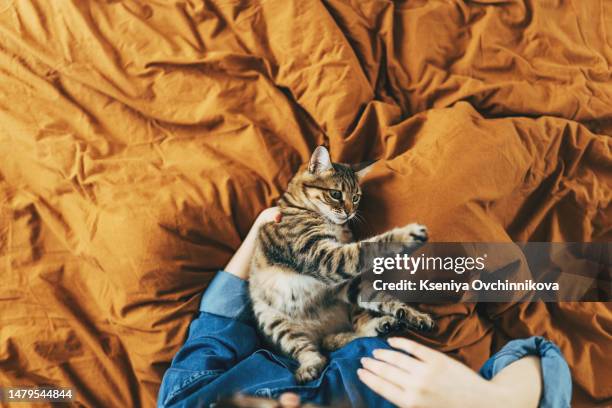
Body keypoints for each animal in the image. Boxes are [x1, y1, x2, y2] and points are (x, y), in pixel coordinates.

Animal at [250, 147, 436, 386]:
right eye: (336, 194)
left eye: (356, 197)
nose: (349, 212)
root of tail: (321, 328)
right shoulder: (323, 257)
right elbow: (367, 247)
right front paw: (406, 235)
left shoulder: (345, 280)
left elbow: (382, 295)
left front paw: (414, 314)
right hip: (274, 322)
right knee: (311, 351)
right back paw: (309, 366)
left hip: (350, 300)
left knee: (357, 327)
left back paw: (384, 324)